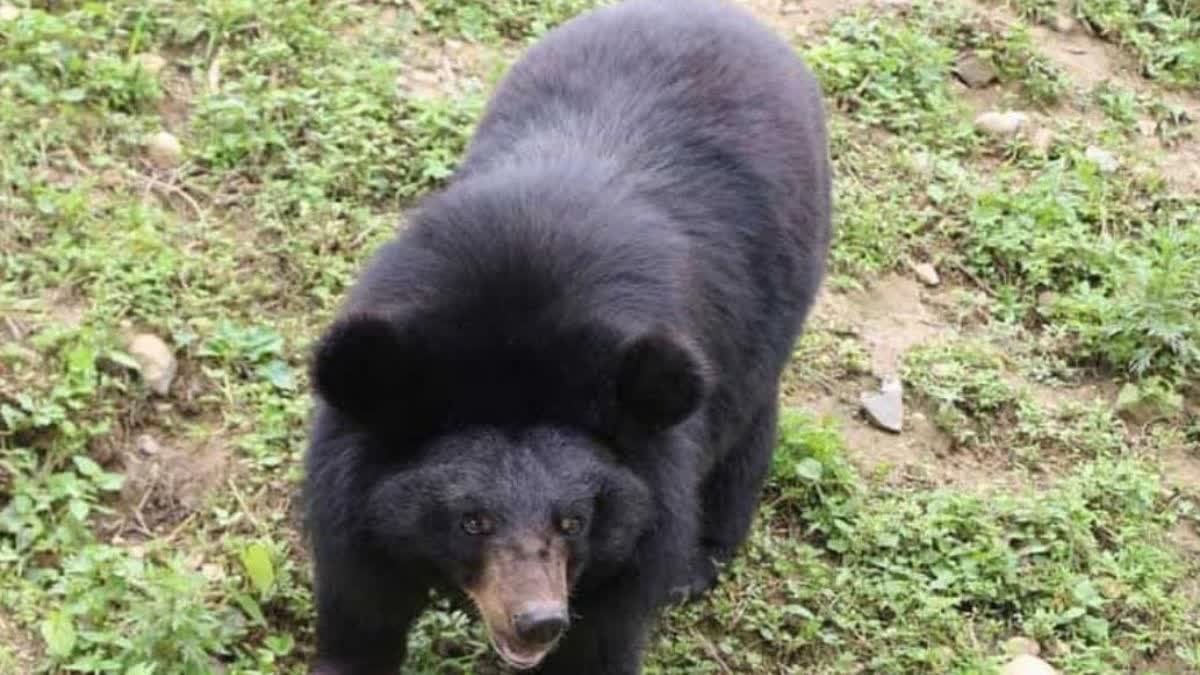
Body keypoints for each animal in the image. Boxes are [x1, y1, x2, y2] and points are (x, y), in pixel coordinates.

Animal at [302, 0, 832, 673]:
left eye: (573, 522)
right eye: (471, 521)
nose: (538, 622)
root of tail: (723, 15)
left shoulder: (641, 518)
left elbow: (604, 634)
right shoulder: (354, 509)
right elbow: (361, 616)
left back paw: (698, 563)